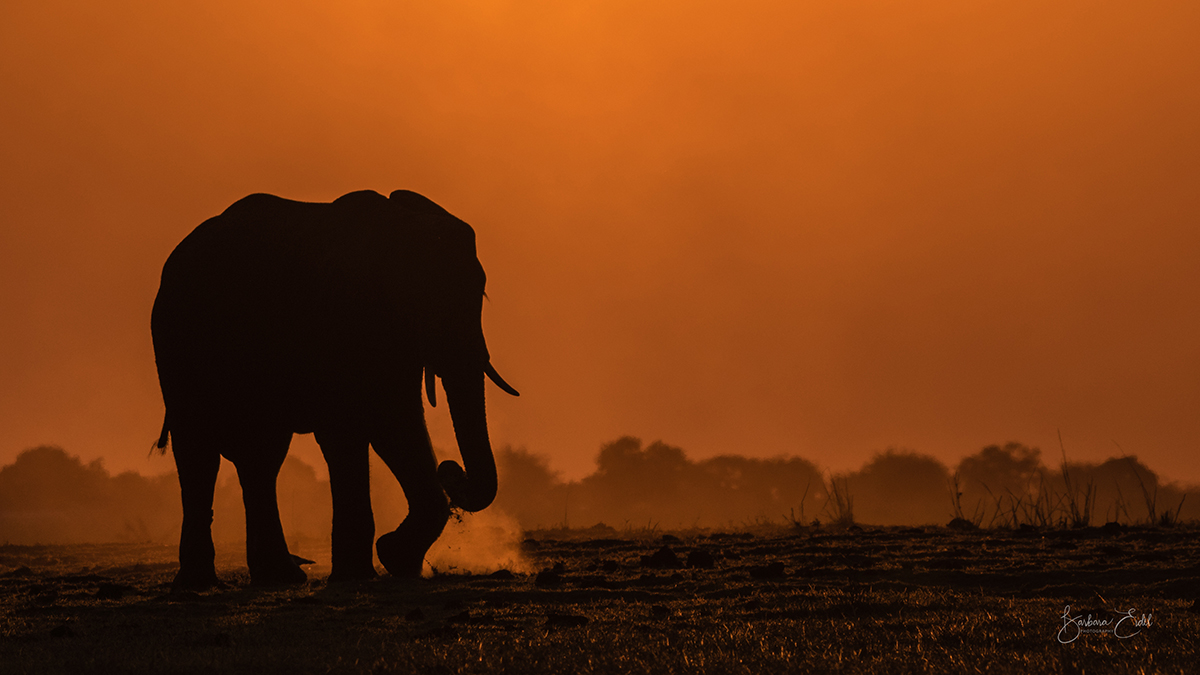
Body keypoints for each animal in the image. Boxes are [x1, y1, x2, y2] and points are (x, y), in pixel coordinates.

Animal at [152, 187, 518, 583]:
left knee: (261, 457)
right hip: (176, 341)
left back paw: (281, 577)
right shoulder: (337, 322)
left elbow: (395, 425)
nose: (452, 470)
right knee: (199, 451)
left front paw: (396, 560)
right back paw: (199, 582)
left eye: (480, 295)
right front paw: (360, 575)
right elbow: (351, 430)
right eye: (422, 297)